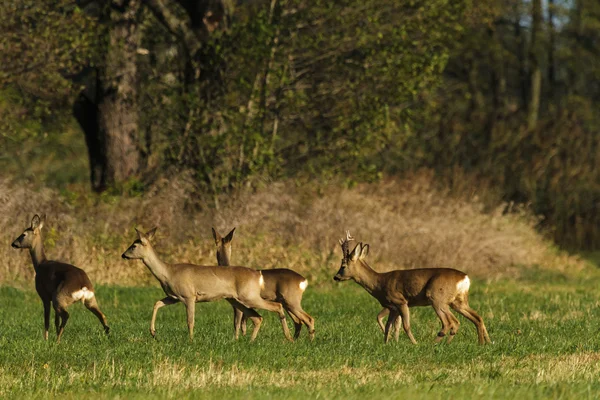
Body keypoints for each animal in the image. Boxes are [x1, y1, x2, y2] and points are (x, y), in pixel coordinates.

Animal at [11, 214, 110, 342]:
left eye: (23, 234)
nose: (13, 243)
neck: (40, 265)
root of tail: (83, 286)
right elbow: (55, 321)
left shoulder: (45, 295)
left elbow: (47, 320)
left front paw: (46, 340)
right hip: (90, 299)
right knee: (102, 315)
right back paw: (108, 336)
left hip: (59, 297)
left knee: (66, 315)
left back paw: (58, 340)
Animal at [121, 227, 292, 342]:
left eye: (134, 246)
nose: (123, 255)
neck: (167, 273)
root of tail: (258, 275)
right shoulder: (174, 297)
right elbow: (157, 303)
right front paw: (153, 332)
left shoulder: (189, 295)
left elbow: (190, 320)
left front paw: (191, 340)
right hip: (237, 299)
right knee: (257, 317)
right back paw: (252, 341)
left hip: (249, 296)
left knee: (276, 306)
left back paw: (288, 337)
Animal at [336, 233, 490, 346]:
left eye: (343, 266)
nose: (335, 277)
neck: (379, 283)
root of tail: (464, 278)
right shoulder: (392, 307)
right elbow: (390, 326)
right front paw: (388, 343)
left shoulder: (401, 301)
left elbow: (405, 326)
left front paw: (414, 343)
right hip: (458, 301)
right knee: (477, 318)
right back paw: (483, 342)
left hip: (437, 297)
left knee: (451, 322)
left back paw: (433, 344)